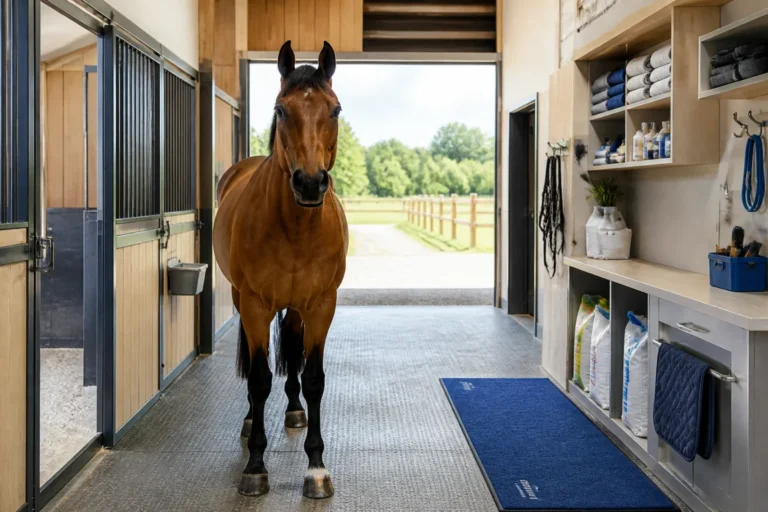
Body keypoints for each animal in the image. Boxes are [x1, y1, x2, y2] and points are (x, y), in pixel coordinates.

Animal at [213, 40, 347, 499]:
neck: (295, 229)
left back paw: (293, 410)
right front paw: (255, 466)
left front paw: (317, 468)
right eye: (280, 109)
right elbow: (258, 378)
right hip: (244, 300)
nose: (309, 183)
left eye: (335, 109)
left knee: (291, 350)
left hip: (296, 309)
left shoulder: (322, 305)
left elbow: (314, 378)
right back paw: (251, 419)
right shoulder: (255, 304)